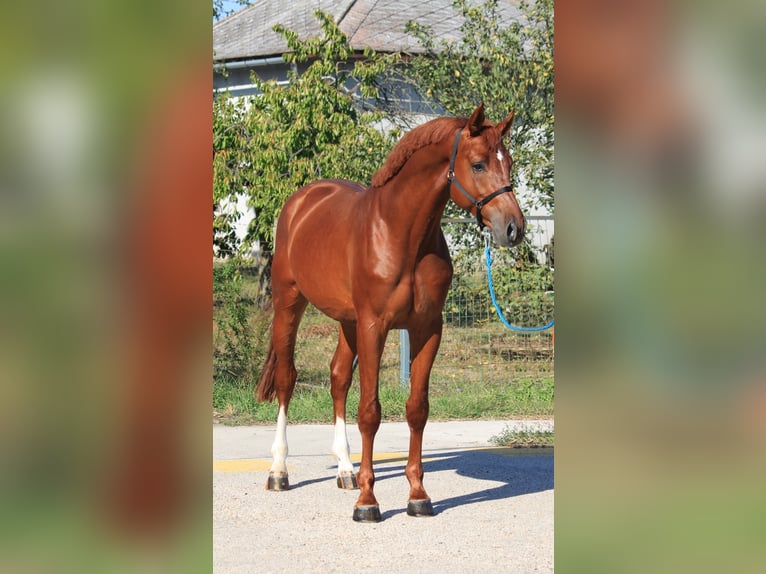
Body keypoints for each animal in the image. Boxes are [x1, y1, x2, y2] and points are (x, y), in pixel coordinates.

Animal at [258, 102, 528, 520]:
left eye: (509, 161)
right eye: (479, 164)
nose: (514, 228)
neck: (399, 232)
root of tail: (302, 201)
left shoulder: (427, 328)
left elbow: (417, 408)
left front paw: (418, 495)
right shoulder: (375, 325)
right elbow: (370, 411)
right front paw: (368, 503)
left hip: (347, 321)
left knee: (338, 378)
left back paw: (346, 470)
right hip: (290, 304)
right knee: (287, 379)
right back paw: (279, 471)